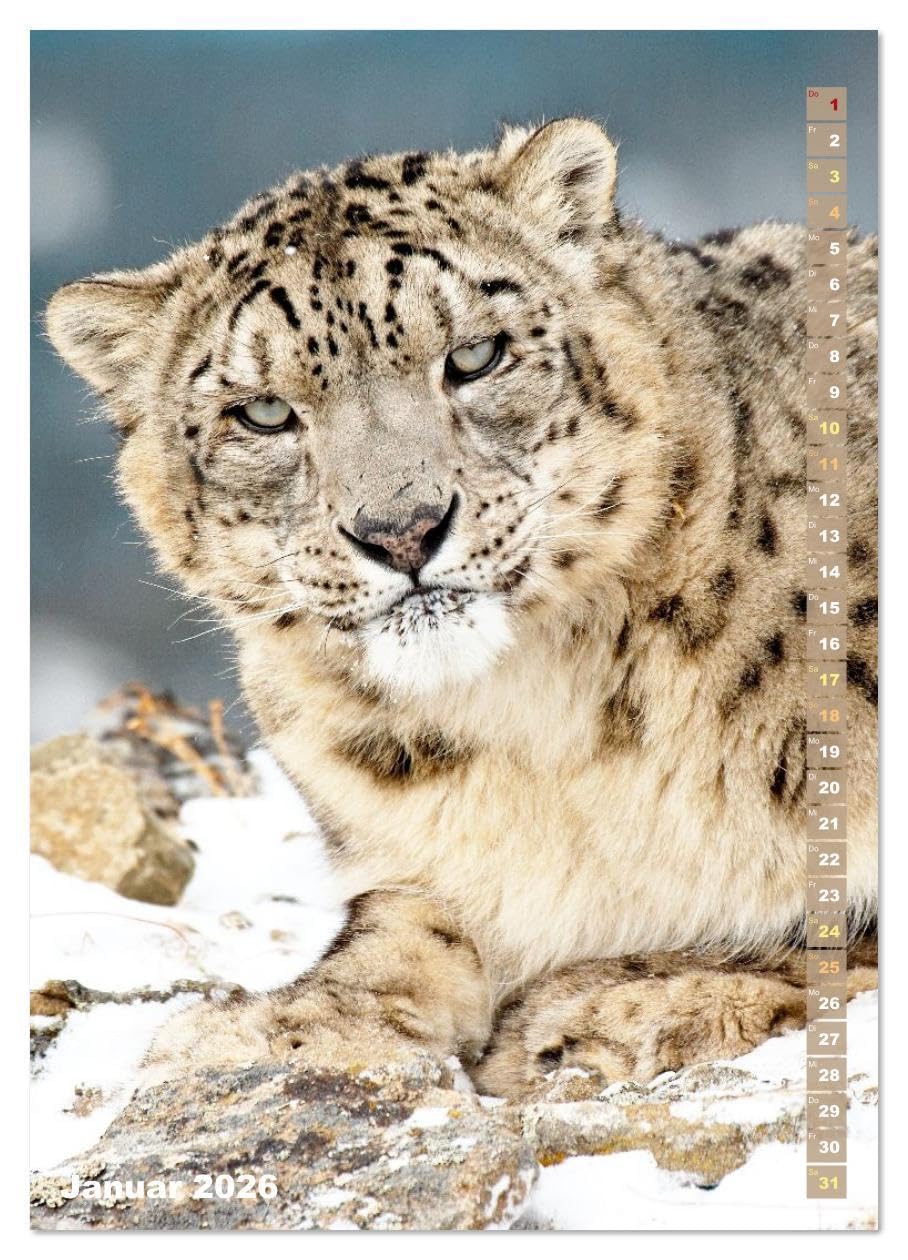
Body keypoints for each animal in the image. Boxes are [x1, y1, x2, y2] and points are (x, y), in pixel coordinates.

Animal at [46, 117, 878, 1099]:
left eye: (476, 356)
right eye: (263, 413)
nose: (400, 529)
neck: (549, 730)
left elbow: (830, 933)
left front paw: (607, 1006)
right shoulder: (415, 868)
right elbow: (394, 937)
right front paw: (269, 1027)